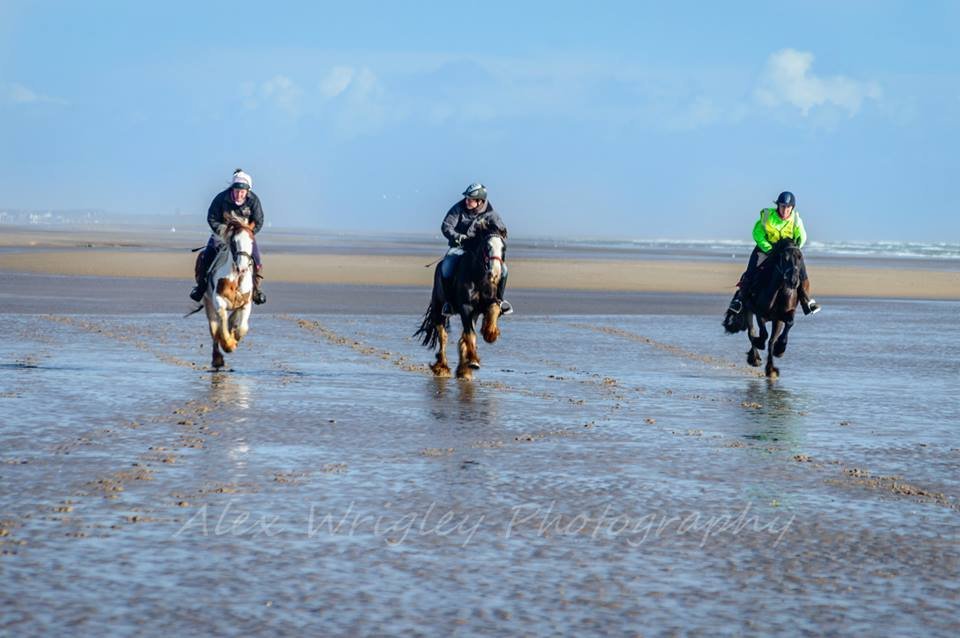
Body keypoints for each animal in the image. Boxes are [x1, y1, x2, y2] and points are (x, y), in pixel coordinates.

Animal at [418, 226, 512, 380]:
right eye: (487, 247)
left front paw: (490, 333)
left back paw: (463, 370)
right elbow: (470, 335)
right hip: (439, 307)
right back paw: (442, 367)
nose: (495, 273)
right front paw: (473, 360)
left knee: (461, 338)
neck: (479, 277)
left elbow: (493, 311)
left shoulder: (487, 305)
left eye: (503, 248)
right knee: (443, 336)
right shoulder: (466, 308)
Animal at [720, 240, 808, 380]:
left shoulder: (783, 316)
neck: (778, 290)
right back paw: (755, 358)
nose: (793, 281)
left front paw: (778, 352)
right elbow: (763, 334)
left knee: (768, 339)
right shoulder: (759, 313)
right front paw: (760, 343)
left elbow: (785, 328)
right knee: (751, 332)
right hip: (748, 310)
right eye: (785, 258)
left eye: (800, 257)